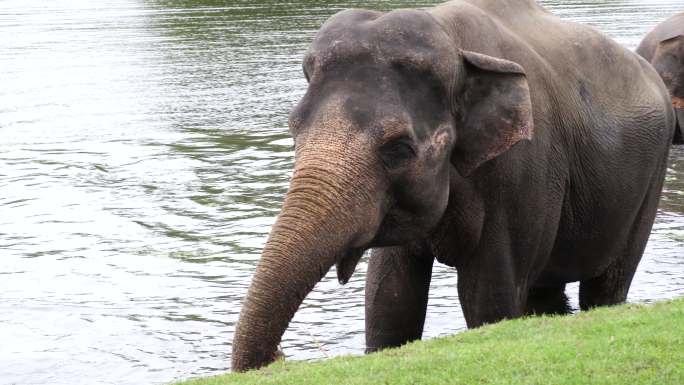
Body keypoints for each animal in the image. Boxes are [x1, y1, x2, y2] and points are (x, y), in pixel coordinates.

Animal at [230, 0, 672, 372]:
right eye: (293, 128)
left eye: (398, 149)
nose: (280, 357)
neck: (455, 43)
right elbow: (389, 299)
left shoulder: (524, 169)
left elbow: (487, 297)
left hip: (650, 182)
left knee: (606, 287)